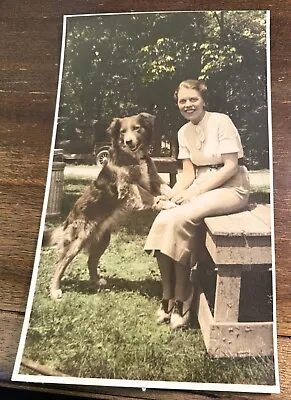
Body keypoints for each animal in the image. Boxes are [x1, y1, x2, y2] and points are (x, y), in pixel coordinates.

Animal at [44, 114, 177, 298]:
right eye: (122, 132)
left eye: (137, 128)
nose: (128, 141)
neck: (133, 156)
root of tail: (68, 219)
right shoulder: (129, 187)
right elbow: (149, 197)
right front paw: (166, 204)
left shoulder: (153, 179)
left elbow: (167, 188)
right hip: (78, 240)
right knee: (60, 263)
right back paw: (55, 290)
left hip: (102, 241)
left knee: (91, 261)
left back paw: (96, 281)